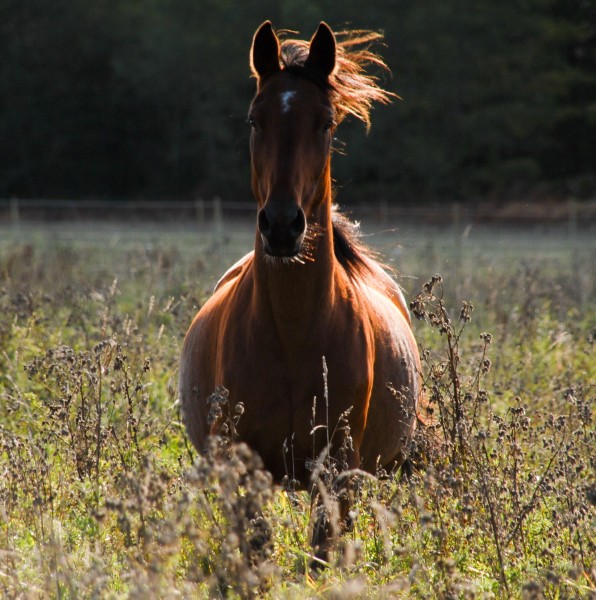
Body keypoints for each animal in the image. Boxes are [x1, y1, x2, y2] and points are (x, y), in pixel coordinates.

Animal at [179, 19, 422, 564]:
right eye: (255, 120)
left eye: (326, 123)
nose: (282, 225)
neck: (292, 333)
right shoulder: (242, 467)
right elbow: (257, 549)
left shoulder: (337, 470)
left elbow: (322, 551)